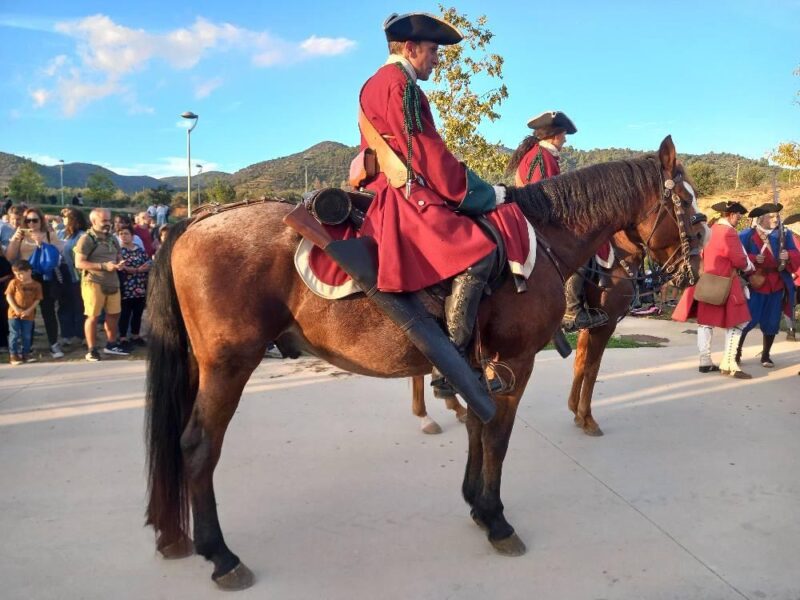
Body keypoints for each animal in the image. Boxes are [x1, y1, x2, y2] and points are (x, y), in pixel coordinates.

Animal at [147, 136, 704, 592]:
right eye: (689, 207)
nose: (689, 275)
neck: (547, 239)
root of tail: (196, 219)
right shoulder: (516, 361)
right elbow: (499, 434)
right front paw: (496, 518)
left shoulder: (481, 365)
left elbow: (481, 426)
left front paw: (476, 503)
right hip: (229, 365)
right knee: (198, 446)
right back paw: (221, 556)